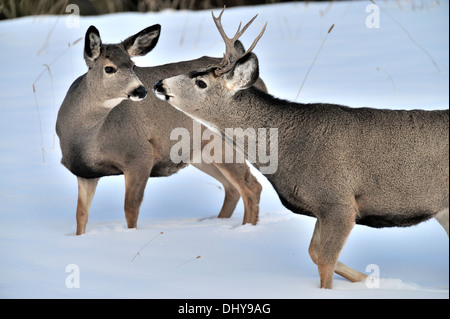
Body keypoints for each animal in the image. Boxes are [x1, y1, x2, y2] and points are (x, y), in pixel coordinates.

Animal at [57, 24, 268, 235]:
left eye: (133, 65)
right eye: (109, 68)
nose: (141, 90)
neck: (87, 138)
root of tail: (258, 82)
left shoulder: (140, 155)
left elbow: (130, 209)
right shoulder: (85, 171)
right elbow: (81, 215)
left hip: (225, 145)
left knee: (251, 187)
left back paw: (246, 228)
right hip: (199, 153)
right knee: (232, 188)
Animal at [154, 8, 446, 290]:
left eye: (201, 83)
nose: (159, 85)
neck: (289, 148)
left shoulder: (339, 202)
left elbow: (325, 262)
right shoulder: (320, 208)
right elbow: (314, 253)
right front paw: (370, 280)